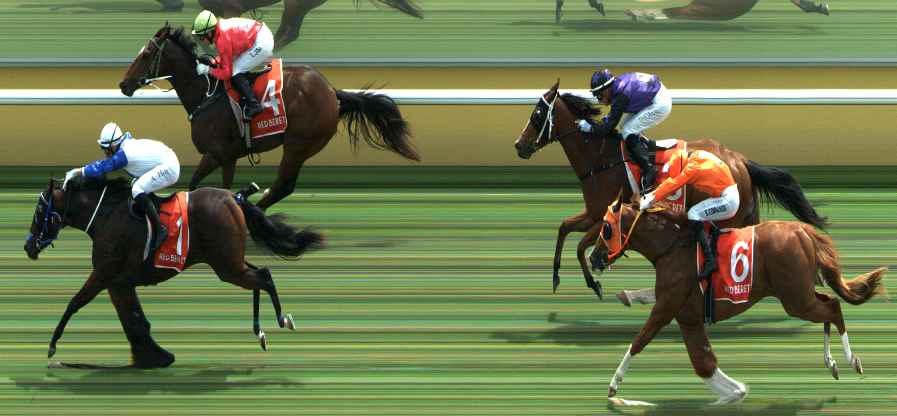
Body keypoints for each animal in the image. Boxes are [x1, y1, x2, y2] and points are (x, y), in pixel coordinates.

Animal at [23, 177, 323, 368]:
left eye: (39, 212)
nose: (28, 247)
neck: (105, 216)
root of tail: (234, 198)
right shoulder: (118, 280)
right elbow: (133, 317)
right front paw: (154, 357)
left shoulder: (104, 272)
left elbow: (75, 302)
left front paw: (52, 345)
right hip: (230, 261)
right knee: (262, 274)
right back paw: (260, 331)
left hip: (227, 266)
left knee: (264, 277)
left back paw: (282, 320)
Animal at [119, 24, 420, 210]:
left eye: (147, 53)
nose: (123, 85)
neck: (205, 95)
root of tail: (331, 91)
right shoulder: (228, 157)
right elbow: (222, 186)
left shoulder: (215, 153)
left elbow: (193, 185)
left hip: (298, 145)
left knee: (283, 186)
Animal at [513, 81, 827, 300]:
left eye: (537, 114)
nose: (519, 145)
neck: (601, 159)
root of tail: (740, 160)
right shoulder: (592, 213)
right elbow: (564, 228)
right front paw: (556, 277)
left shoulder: (606, 214)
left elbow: (579, 246)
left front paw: (595, 282)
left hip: (734, 214)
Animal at [590, 201, 886, 404]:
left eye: (605, 227)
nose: (594, 257)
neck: (671, 247)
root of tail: (803, 231)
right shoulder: (688, 316)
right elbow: (703, 362)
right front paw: (734, 391)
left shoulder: (667, 305)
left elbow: (641, 340)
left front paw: (614, 386)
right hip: (800, 293)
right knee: (830, 303)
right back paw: (831, 363)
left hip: (795, 299)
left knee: (832, 308)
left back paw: (851, 360)